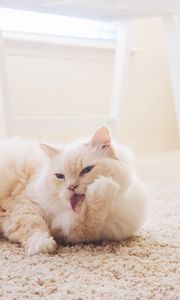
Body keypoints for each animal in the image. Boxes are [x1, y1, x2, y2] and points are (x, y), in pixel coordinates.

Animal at [0, 127, 146, 255]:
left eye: (86, 170)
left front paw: (102, 188)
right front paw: (41, 245)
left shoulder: (77, 233)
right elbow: (33, 225)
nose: (71, 186)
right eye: (60, 176)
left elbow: (88, 221)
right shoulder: (23, 205)